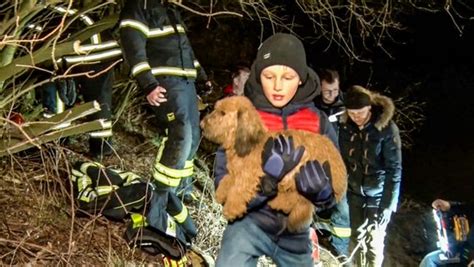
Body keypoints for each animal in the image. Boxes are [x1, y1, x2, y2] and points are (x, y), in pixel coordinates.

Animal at [200, 96, 348, 232]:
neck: (253, 143)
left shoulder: (248, 176)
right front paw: (220, 195)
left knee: (302, 203)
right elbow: (225, 181)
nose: (201, 124)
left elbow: (238, 190)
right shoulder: (236, 172)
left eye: (223, 113)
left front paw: (231, 210)